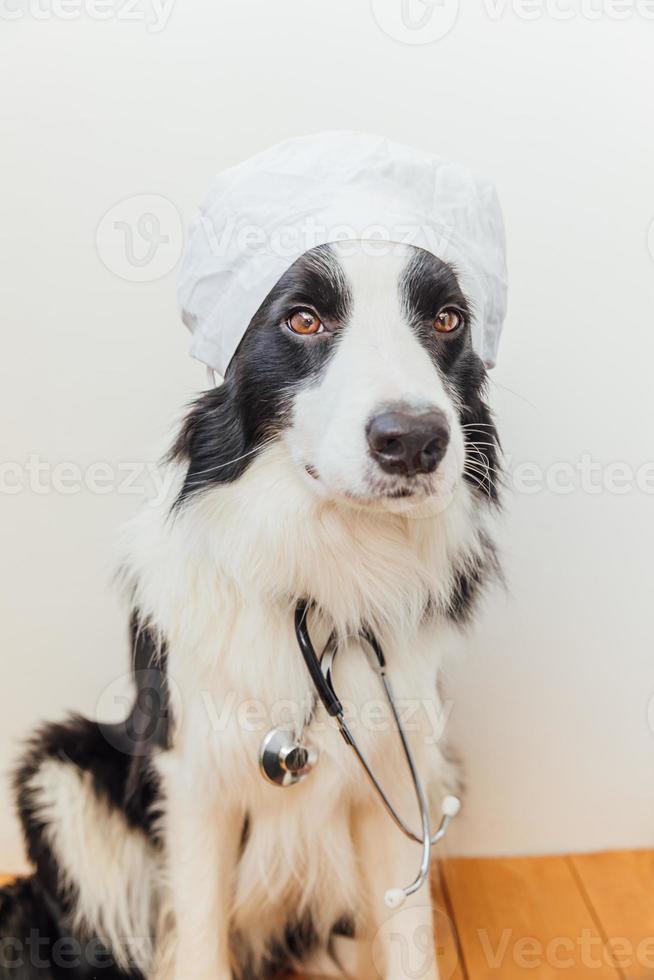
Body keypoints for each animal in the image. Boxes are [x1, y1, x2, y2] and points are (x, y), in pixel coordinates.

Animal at [2, 239, 502, 980]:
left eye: (447, 319)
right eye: (303, 319)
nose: (413, 441)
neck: (325, 570)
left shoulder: (399, 766)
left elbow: (408, 938)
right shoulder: (192, 775)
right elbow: (200, 936)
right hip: (63, 767)